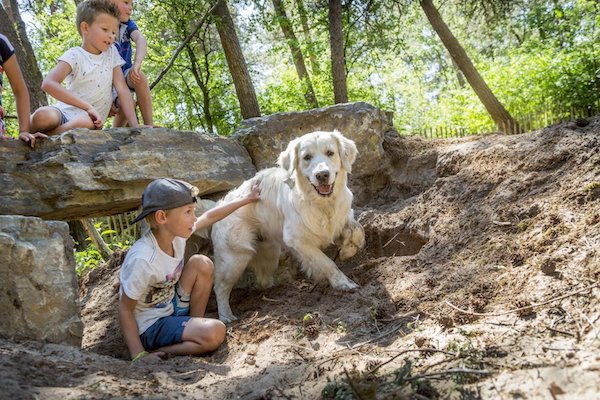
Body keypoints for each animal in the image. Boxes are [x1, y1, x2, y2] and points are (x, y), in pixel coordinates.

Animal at [213, 130, 368, 324]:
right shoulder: (296, 239)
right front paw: (342, 282)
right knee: (220, 287)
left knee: (263, 280)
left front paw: (348, 250)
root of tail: (219, 204)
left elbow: (358, 230)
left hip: (269, 253)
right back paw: (226, 316)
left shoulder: (344, 214)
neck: (322, 205)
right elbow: (327, 262)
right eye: (307, 157)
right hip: (235, 258)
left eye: (330, 153)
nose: (322, 175)